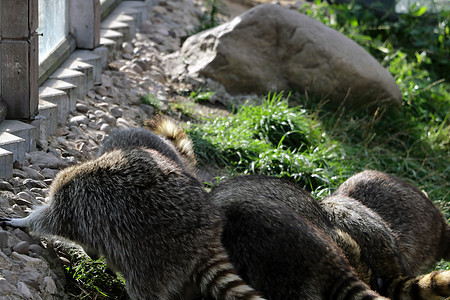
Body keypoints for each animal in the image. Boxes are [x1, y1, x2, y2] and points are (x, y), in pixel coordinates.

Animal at [0, 148, 264, 300]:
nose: (93, 256)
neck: (74, 173)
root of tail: (207, 236)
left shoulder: (74, 207)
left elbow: (47, 220)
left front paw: (23, 221)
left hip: (157, 254)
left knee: (144, 289)